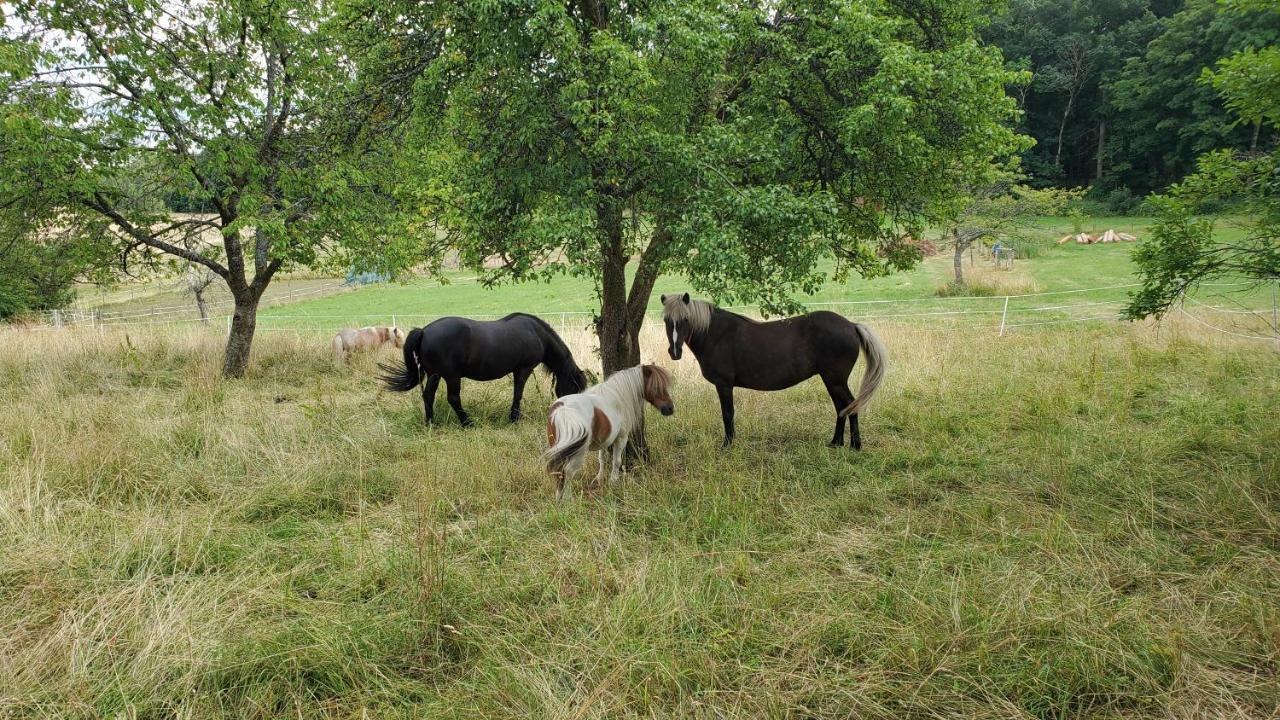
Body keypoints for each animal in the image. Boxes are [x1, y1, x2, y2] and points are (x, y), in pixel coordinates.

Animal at [373, 311, 586, 422]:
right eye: (575, 387)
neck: (536, 333)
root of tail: (424, 331)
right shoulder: (524, 369)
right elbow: (518, 393)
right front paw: (514, 418)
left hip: (435, 374)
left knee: (428, 396)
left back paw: (431, 422)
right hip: (451, 376)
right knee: (453, 398)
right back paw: (468, 423)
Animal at [545, 363, 675, 499]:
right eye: (656, 386)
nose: (670, 408)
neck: (618, 397)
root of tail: (562, 410)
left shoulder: (603, 440)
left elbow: (601, 459)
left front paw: (599, 478)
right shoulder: (622, 437)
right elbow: (616, 461)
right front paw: (613, 481)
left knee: (559, 472)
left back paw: (558, 497)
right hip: (577, 453)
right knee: (568, 471)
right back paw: (567, 498)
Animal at [660, 289, 890, 445]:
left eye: (685, 319)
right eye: (666, 320)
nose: (674, 352)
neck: (717, 335)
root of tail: (851, 325)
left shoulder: (724, 385)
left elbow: (727, 414)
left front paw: (728, 444)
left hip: (835, 380)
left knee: (850, 404)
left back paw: (855, 445)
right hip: (832, 381)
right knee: (842, 407)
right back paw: (835, 443)